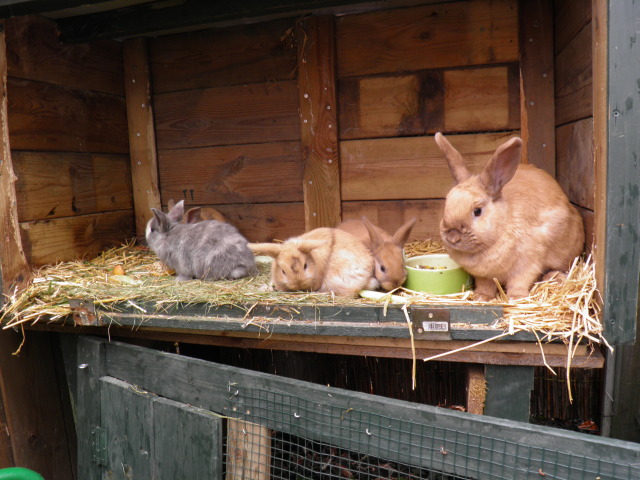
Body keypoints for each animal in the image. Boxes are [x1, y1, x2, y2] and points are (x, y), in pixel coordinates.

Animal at [436, 131, 584, 302]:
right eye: (447, 203)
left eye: (477, 211)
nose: (453, 237)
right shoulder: (483, 275)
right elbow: (486, 285)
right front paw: (481, 297)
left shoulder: (528, 262)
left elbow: (519, 281)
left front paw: (516, 298)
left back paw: (553, 276)